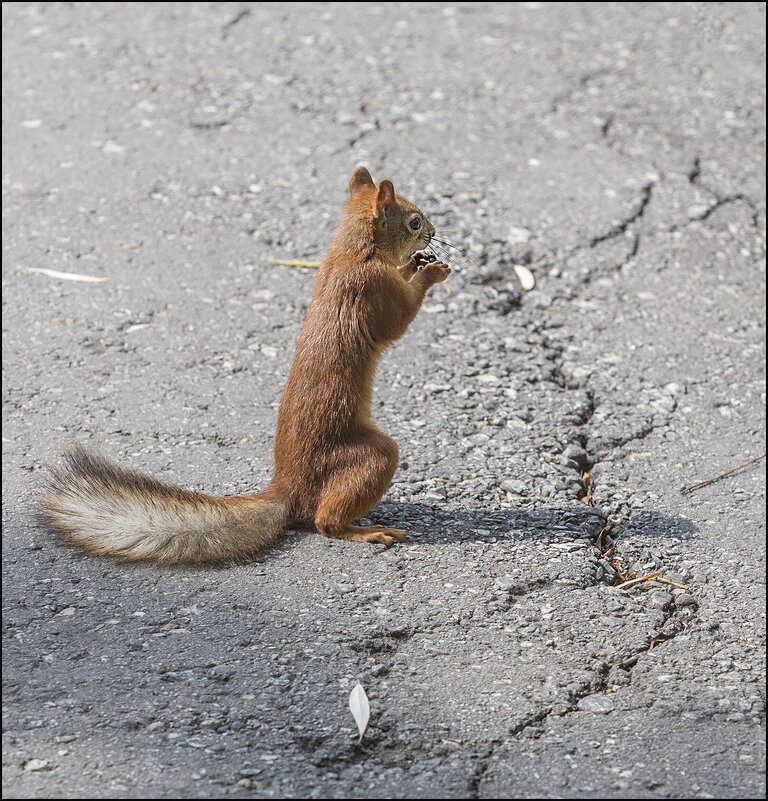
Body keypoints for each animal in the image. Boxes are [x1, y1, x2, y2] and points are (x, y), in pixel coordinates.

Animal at [43, 167, 450, 564]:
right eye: (414, 221)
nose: (432, 234)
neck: (353, 251)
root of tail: (288, 489)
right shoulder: (372, 288)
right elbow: (398, 319)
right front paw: (431, 271)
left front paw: (418, 262)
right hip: (366, 456)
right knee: (325, 520)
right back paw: (369, 532)